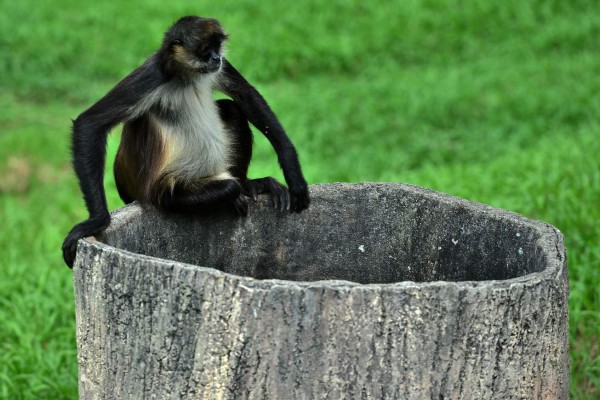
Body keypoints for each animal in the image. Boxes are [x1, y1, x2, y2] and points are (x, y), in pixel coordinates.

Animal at [62, 15, 310, 268]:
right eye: (205, 50)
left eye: (217, 46)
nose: (216, 58)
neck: (187, 76)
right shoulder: (153, 74)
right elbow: (89, 124)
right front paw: (96, 221)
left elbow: (246, 94)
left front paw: (292, 168)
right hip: (161, 191)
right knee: (223, 187)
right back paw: (235, 192)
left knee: (232, 109)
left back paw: (247, 184)